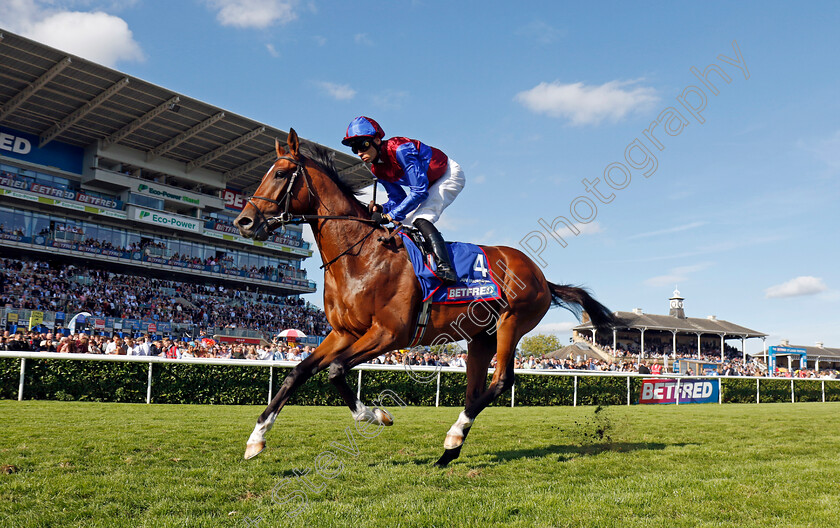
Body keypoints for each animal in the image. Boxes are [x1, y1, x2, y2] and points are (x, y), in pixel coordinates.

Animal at [233, 130, 612, 468]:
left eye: (280, 173)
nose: (244, 221)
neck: (360, 255)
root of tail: (541, 276)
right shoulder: (343, 333)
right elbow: (297, 373)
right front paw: (255, 440)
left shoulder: (390, 333)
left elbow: (336, 370)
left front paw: (376, 415)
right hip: (480, 337)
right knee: (475, 390)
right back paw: (449, 452)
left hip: (512, 323)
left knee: (501, 381)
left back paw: (453, 436)